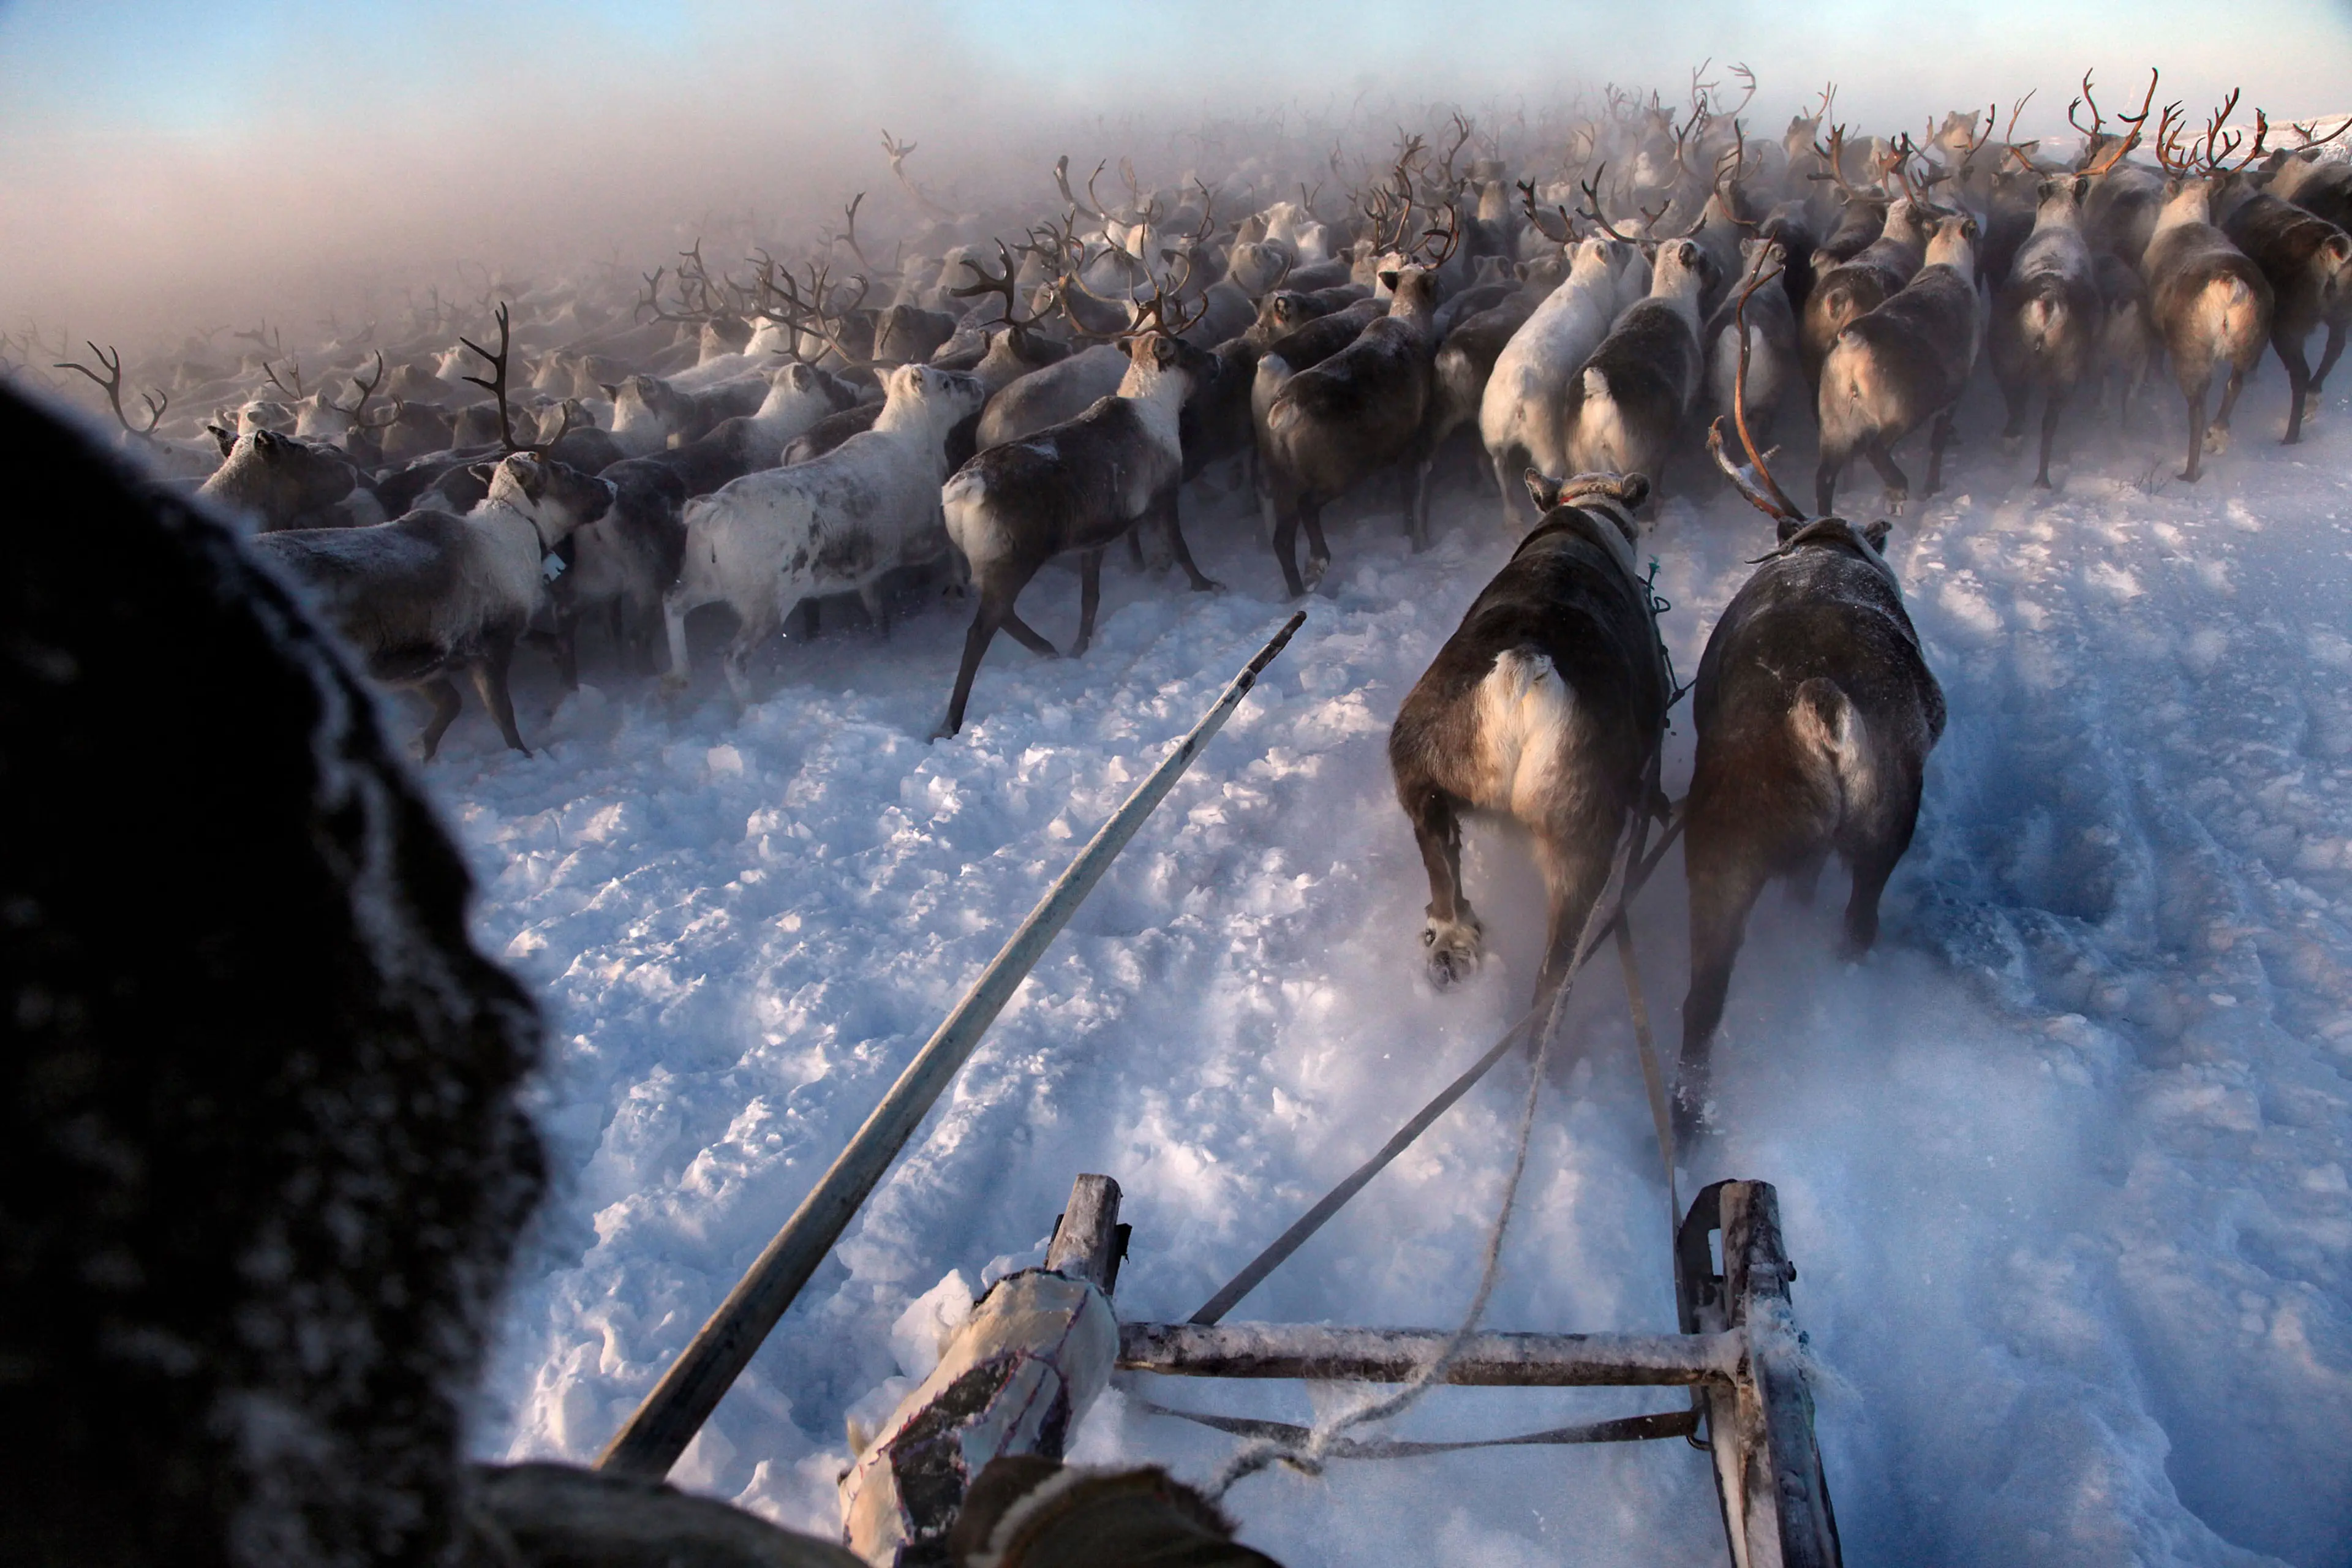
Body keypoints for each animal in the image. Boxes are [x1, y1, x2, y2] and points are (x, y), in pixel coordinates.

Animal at [933, 296, 1222, 738]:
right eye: (1186, 346)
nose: (1216, 360)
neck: (1158, 405)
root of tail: (962, 492)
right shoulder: (1164, 495)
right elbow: (1181, 548)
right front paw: (1206, 585)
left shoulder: (1094, 540)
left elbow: (1091, 599)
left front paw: (1081, 646)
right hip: (1013, 562)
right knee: (981, 629)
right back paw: (951, 721)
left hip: (989, 565)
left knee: (1004, 616)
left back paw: (1049, 649)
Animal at [1385, 468, 1670, 1002]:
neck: (1589, 505)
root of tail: (1523, 668)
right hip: (1581, 842)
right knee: (1556, 970)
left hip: (1421, 775)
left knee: (1443, 878)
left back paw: (1451, 941)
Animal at [1815, 211, 1981, 515]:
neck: (1948, 261)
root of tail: (1852, 343)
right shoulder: (1951, 399)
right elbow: (1937, 445)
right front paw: (1931, 488)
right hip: (1902, 413)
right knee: (1875, 449)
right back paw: (1898, 487)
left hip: (1834, 426)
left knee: (1825, 477)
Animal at [1990, 174, 2101, 488]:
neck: (2058, 226)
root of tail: (2047, 302)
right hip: (2063, 363)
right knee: (2044, 419)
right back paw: (2041, 477)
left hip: (2011, 354)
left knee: (2021, 410)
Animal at [2143, 95, 2276, 481]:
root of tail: (2231, 286)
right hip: (2252, 339)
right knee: (2235, 385)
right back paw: (2218, 435)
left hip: (2193, 349)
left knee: (2197, 407)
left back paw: (2189, 470)